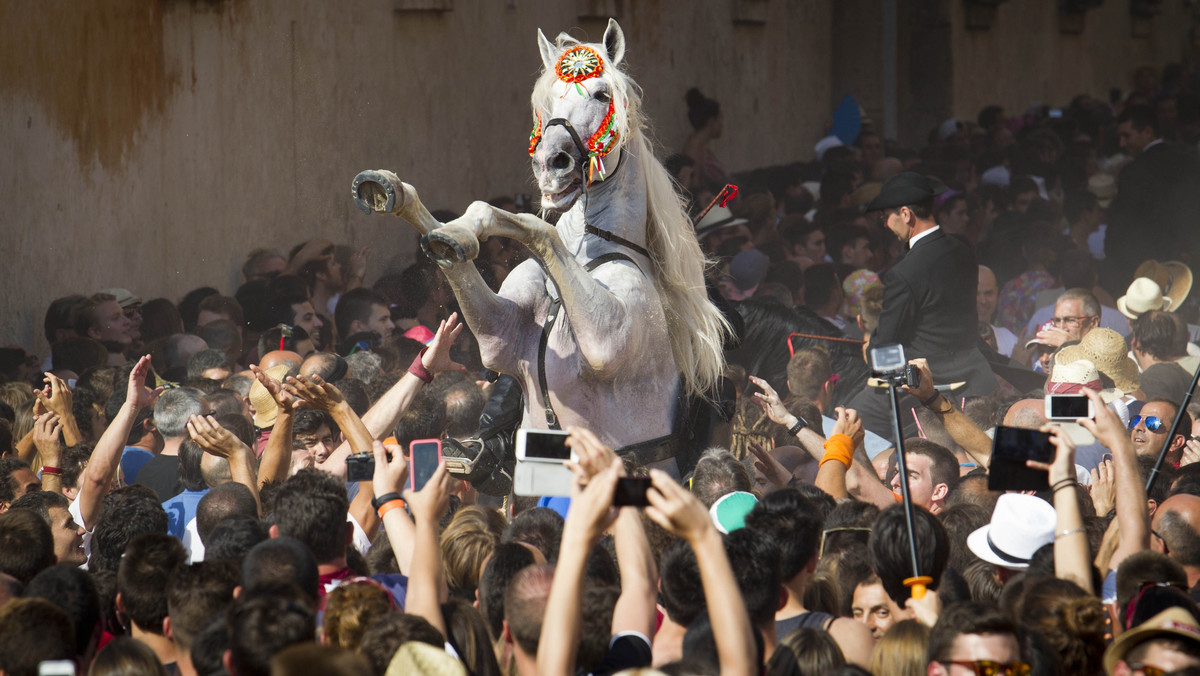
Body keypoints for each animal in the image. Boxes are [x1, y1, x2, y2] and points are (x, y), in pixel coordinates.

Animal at [350, 18, 724, 461]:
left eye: (602, 95)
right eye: (546, 102)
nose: (550, 163)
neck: (581, 262)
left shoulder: (607, 336)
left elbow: (536, 225)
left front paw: (463, 230)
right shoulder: (499, 336)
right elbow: (473, 227)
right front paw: (405, 201)